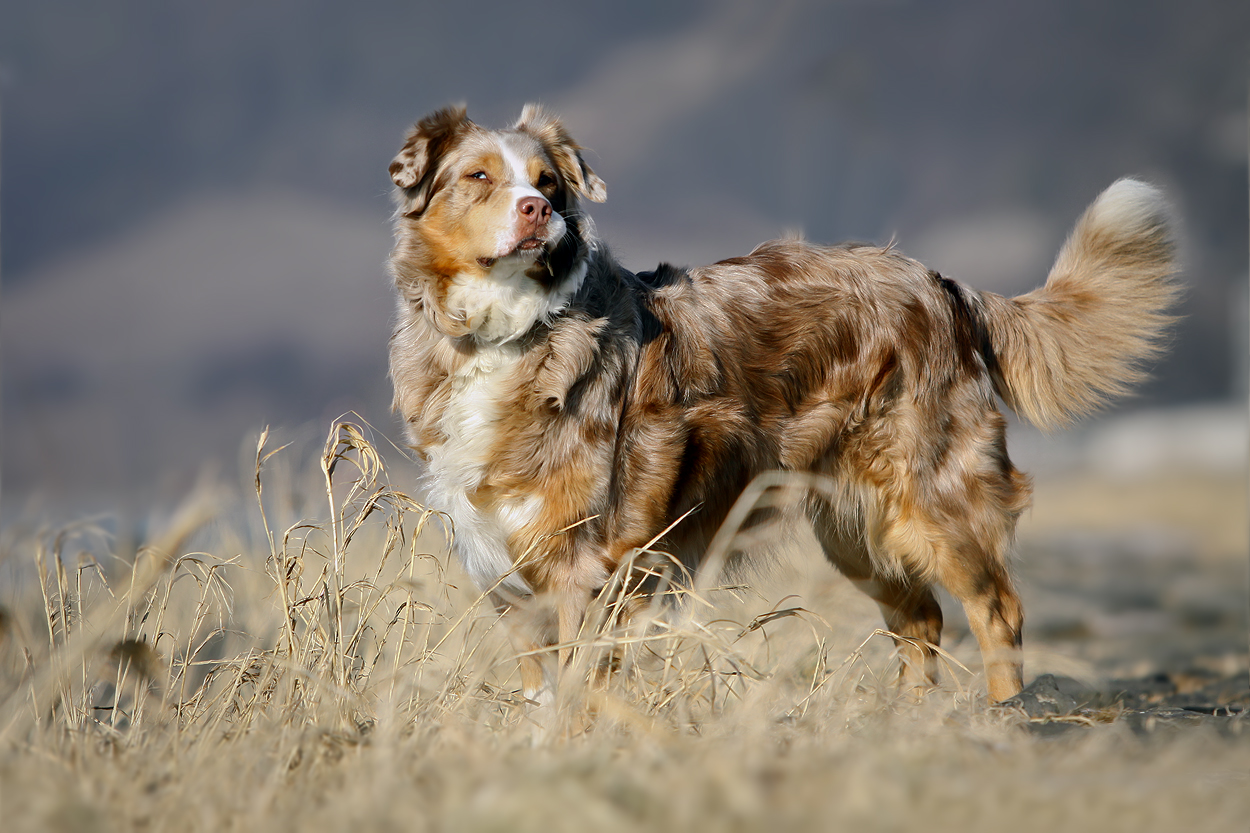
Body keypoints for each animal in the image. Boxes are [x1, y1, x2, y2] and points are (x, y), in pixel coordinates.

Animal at [385, 103, 1175, 700]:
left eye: (548, 181)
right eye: (478, 177)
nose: (538, 210)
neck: (508, 335)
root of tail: (943, 283)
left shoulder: (587, 564)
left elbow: (579, 690)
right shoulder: (509, 575)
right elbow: (540, 692)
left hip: (931, 498)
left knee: (996, 609)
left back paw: (1002, 719)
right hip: (854, 528)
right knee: (921, 618)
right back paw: (908, 724)